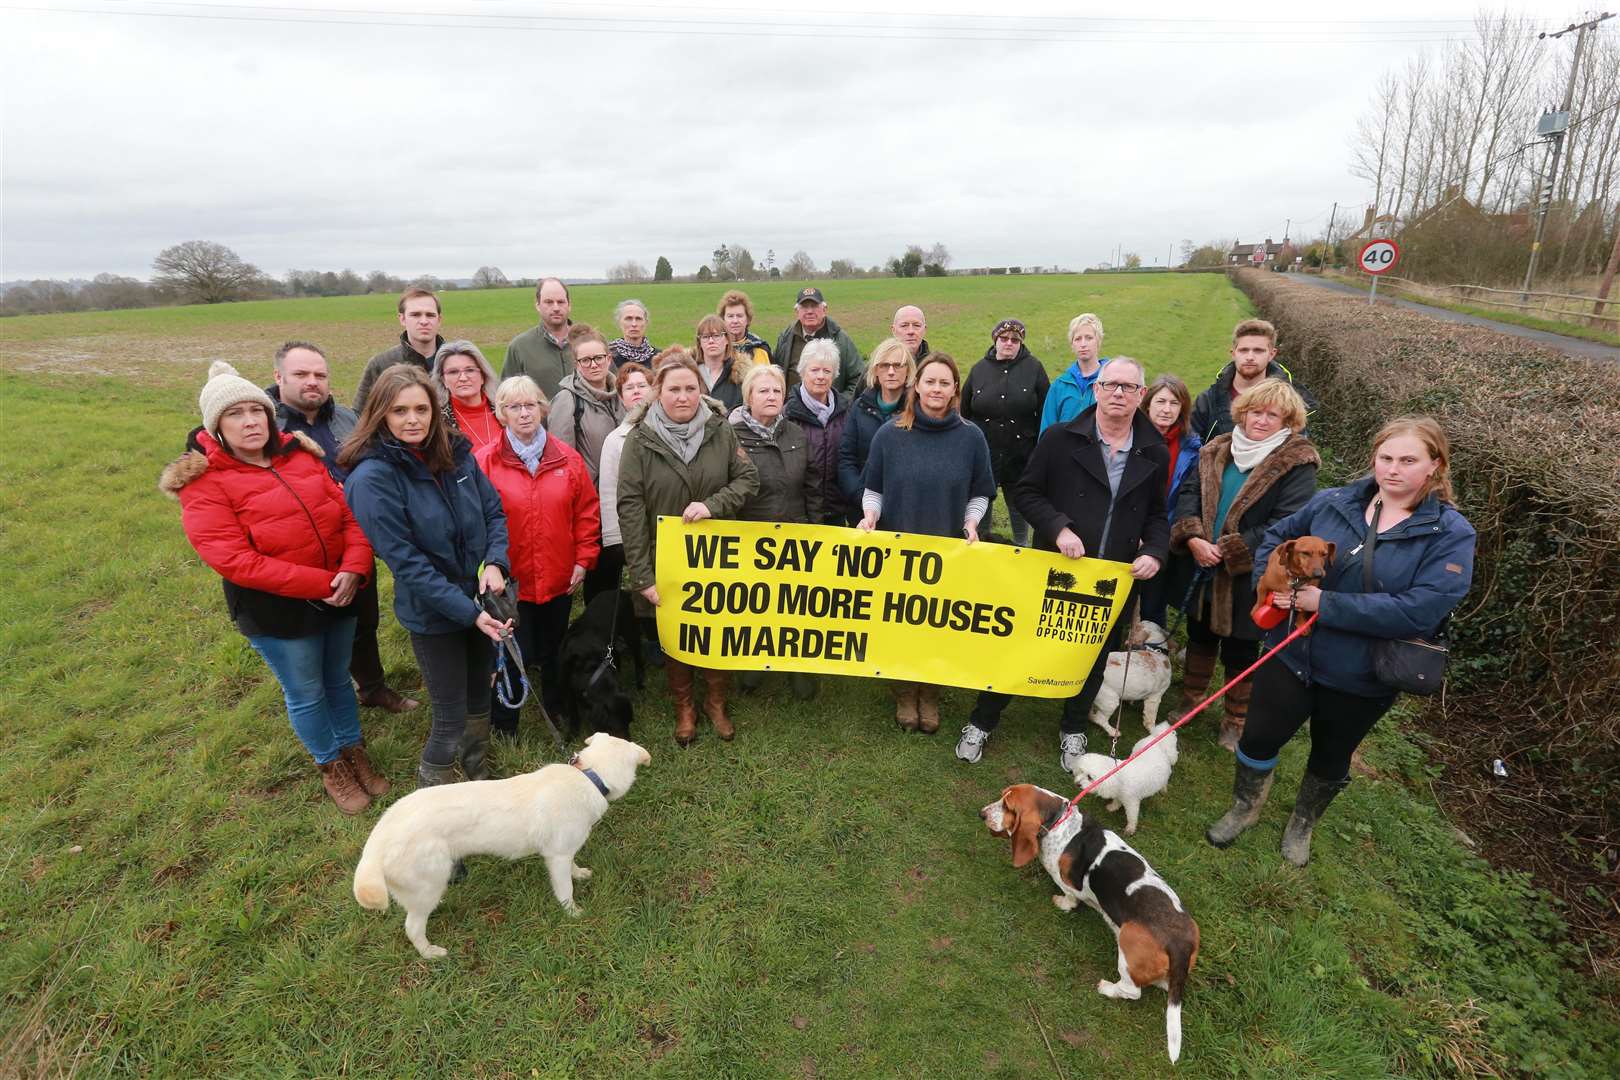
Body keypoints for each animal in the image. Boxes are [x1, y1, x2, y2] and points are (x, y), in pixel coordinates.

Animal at [354, 731, 651, 958]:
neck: (589, 776)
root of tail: (377, 842)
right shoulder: (556, 857)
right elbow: (565, 891)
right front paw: (574, 914)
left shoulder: (566, 851)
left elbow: (573, 868)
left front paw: (579, 874)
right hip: (427, 885)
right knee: (413, 928)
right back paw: (431, 953)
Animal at [557, 592, 644, 744]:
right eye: (616, 727)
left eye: (629, 722)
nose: (628, 742)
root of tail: (621, 592)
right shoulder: (567, 687)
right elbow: (573, 713)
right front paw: (572, 735)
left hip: (630, 631)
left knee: (638, 656)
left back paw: (640, 684)